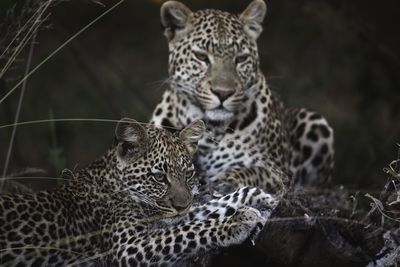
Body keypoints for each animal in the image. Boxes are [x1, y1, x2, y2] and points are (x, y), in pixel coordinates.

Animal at [0, 119, 276, 267]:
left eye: (188, 175)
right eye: (159, 177)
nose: (182, 205)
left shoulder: (161, 218)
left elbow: (201, 211)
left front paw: (257, 196)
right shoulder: (129, 247)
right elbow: (190, 230)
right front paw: (237, 221)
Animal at [151, 0, 334, 195]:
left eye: (241, 58)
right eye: (201, 56)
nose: (223, 93)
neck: (210, 129)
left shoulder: (279, 172)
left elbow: (256, 171)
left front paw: (225, 180)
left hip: (315, 122)